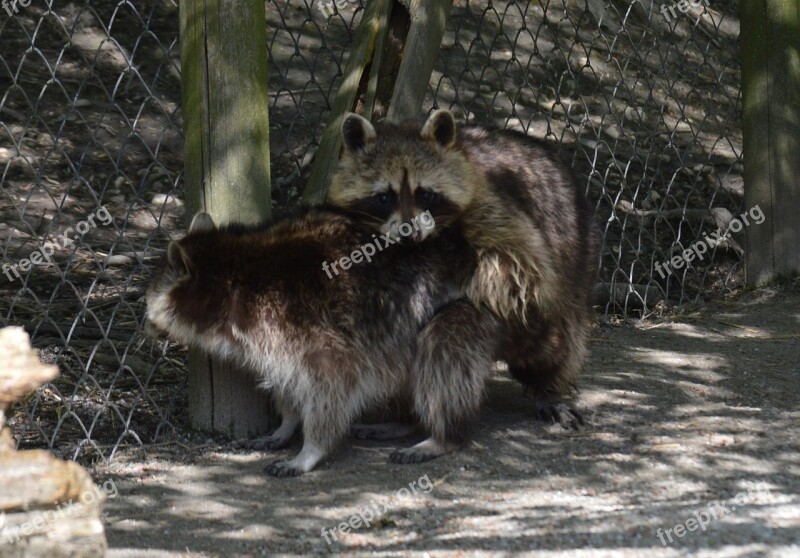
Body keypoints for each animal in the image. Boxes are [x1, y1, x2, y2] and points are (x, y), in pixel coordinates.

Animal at [145, 208, 500, 480]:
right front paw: (287, 422)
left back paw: (444, 435)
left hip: (462, 310)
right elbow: (283, 378)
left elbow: (330, 381)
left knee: (441, 356)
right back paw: (403, 422)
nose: (143, 317)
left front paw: (311, 448)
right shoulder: (269, 339)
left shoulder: (299, 323)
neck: (231, 276)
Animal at [326, 111, 600, 426]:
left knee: (554, 336)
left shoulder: (491, 204)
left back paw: (546, 385)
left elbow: (520, 267)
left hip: (578, 254)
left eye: (426, 194)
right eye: (384, 197)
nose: (409, 234)